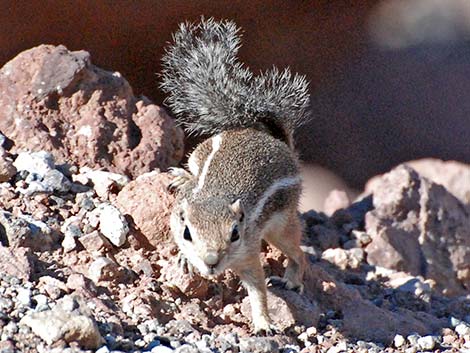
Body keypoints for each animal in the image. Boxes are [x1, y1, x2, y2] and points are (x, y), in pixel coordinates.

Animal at [160, 18, 310, 332]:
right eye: (187, 233)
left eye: (235, 234)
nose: (211, 262)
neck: (216, 195)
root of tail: (274, 140)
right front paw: (183, 258)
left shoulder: (249, 252)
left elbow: (258, 289)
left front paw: (264, 323)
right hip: (198, 155)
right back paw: (182, 177)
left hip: (282, 226)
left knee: (298, 252)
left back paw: (292, 280)